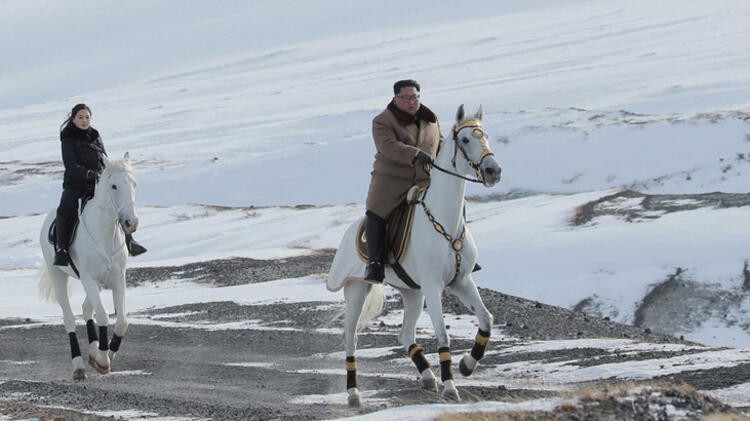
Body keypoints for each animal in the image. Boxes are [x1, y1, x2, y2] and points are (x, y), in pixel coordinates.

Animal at [38, 153, 138, 378]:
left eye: (134, 184)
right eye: (114, 186)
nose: (131, 223)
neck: (105, 234)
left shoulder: (118, 279)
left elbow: (122, 321)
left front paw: (108, 353)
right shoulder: (88, 279)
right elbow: (102, 315)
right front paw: (102, 361)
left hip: (100, 283)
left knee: (86, 309)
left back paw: (92, 352)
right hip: (58, 275)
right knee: (69, 318)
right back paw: (79, 365)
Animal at [328, 105, 506, 406]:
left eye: (486, 135)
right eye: (465, 139)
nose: (493, 171)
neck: (446, 221)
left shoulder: (462, 282)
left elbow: (486, 320)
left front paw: (467, 366)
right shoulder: (434, 286)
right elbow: (443, 334)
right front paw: (451, 386)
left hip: (412, 293)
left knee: (405, 334)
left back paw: (427, 376)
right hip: (356, 290)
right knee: (350, 339)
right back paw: (354, 394)